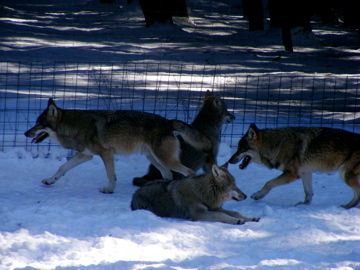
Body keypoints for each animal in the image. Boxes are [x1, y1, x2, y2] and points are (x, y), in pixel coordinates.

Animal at [24, 98, 211, 193]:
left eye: (39, 124)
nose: (26, 133)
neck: (74, 126)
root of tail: (168, 121)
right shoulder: (86, 155)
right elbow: (62, 168)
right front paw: (50, 181)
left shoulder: (106, 154)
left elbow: (110, 175)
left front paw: (109, 189)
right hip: (154, 158)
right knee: (168, 174)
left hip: (165, 159)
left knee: (190, 172)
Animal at [131, 163, 260, 225]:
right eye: (233, 186)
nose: (245, 196)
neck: (202, 192)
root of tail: (135, 193)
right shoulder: (200, 214)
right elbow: (222, 215)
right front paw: (236, 221)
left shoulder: (214, 208)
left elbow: (235, 212)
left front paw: (251, 218)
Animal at [228, 123, 360, 209]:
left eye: (240, 149)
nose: (229, 161)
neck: (276, 145)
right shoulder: (305, 172)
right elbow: (308, 193)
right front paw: (304, 205)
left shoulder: (292, 174)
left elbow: (269, 183)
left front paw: (258, 195)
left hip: (344, 174)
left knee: (358, 194)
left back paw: (346, 207)